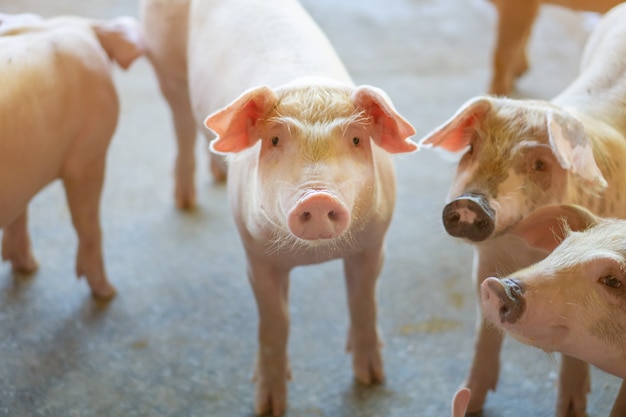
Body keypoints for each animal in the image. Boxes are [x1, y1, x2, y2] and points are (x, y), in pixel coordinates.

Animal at [0, 13, 143, 300]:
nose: (110, 291)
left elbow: (20, 212)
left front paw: (30, 267)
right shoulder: (89, 155)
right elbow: (88, 224)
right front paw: (108, 292)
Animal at [139, 0, 416, 412]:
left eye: (355, 139)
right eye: (273, 140)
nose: (317, 197)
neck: (315, 256)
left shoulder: (374, 242)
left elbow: (363, 301)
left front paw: (372, 380)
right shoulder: (256, 253)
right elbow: (275, 321)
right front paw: (268, 407)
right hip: (164, 62)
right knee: (183, 123)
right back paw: (184, 200)